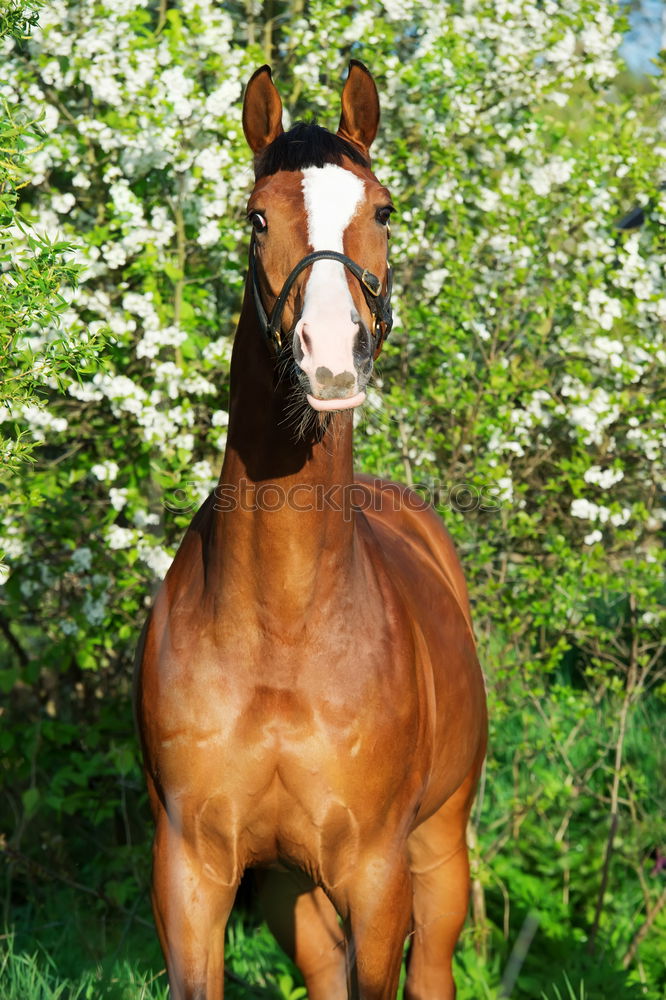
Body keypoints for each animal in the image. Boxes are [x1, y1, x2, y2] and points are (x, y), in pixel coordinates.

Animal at [135, 64, 486, 1000]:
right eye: (256, 216)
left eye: (385, 209)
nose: (330, 354)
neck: (284, 630)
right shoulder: (190, 873)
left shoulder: (378, 874)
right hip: (288, 887)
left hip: (440, 850)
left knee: (431, 969)